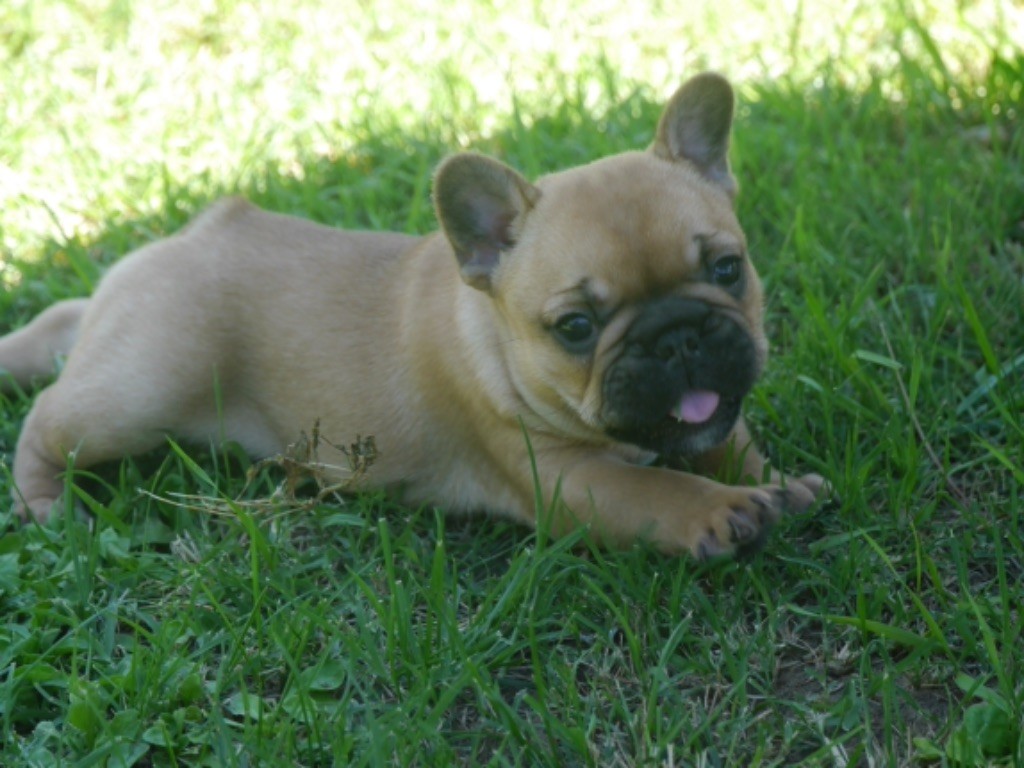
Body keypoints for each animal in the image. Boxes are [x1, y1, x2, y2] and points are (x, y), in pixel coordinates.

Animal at [0, 73, 824, 559]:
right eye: (576, 329)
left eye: (727, 269)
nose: (677, 337)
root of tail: (172, 245)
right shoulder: (567, 479)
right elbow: (659, 491)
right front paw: (727, 511)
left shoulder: (710, 418)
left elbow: (731, 443)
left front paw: (779, 483)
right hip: (140, 394)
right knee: (48, 419)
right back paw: (47, 506)